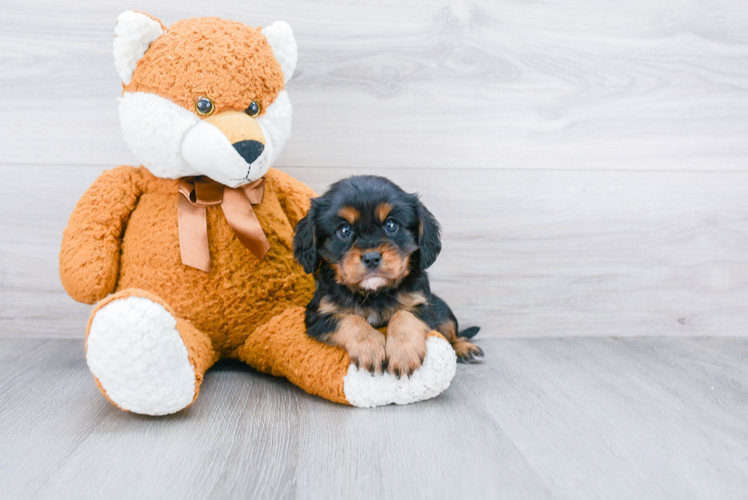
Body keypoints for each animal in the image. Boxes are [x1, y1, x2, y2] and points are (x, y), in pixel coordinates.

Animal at [292, 174, 486, 376]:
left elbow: (404, 316)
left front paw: (404, 353)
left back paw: (466, 349)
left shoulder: (422, 305)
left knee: (453, 336)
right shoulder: (318, 316)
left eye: (391, 225)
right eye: (344, 230)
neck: (374, 294)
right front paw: (369, 347)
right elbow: (349, 320)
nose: (371, 258)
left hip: (444, 311)